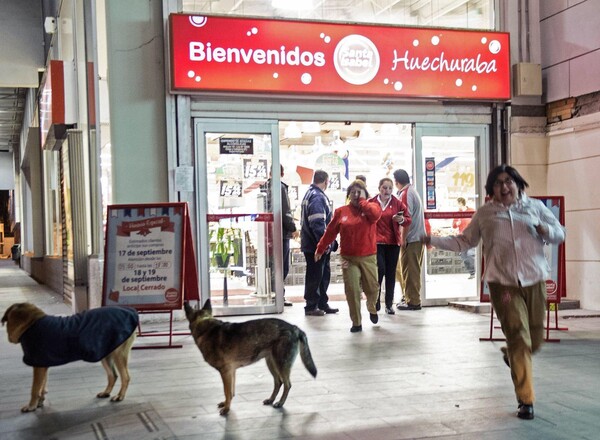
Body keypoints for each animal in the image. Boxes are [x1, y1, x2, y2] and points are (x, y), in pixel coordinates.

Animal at [1, 302, 137, 412]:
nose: (9, 337)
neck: (32, 323)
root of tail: (131, 311)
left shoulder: (38, 366)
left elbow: (35, 388)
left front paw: (31, 406)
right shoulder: (42, 364)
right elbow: (42, 385)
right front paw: (40, 401)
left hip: (118, 354)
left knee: (125, 377)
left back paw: (120, 396)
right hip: (106, 353)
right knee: (113, 375)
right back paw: (106, 392)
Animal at [185, 298, 318, 414]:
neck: (205, 326)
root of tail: (295, 328)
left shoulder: (225, 372)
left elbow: (227, 392)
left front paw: (226, 408)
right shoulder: (231, 372)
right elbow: (231, 392)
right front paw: (226, 403)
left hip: (280, 365)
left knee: (287, 384)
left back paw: (280, 402)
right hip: (271, 364)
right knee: (278, 382)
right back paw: (271, 399)